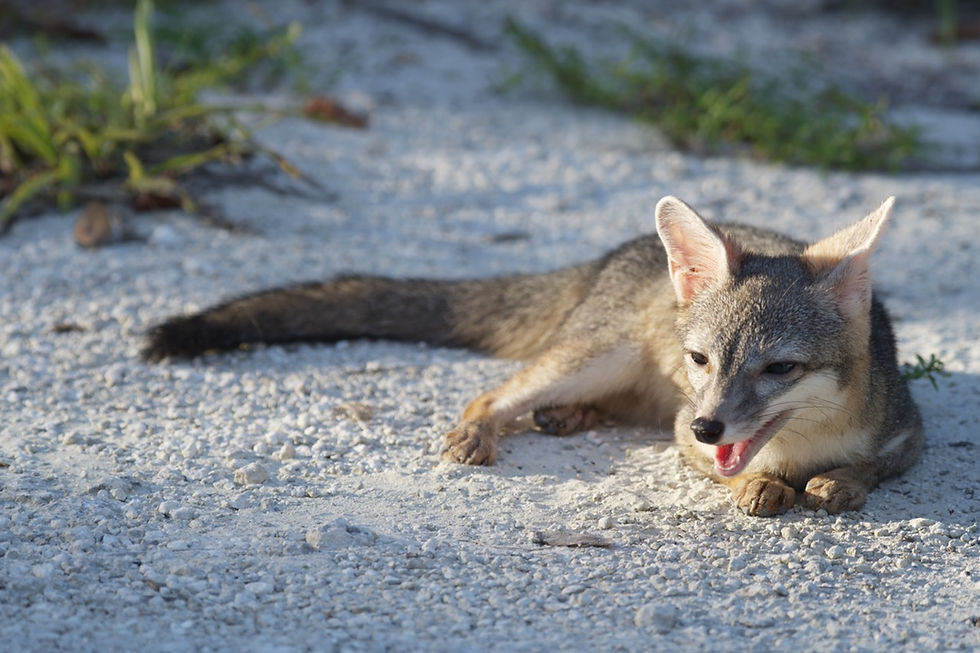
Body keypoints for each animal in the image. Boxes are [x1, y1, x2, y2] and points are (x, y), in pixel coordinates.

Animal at [142, 196, 923, 517]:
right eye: (701, 359)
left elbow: (872, 467)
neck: (801, 446)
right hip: (595, 357)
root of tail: (615, 254)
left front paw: (839, 482)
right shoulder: (680, 433)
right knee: (495, 394)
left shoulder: (908, 432)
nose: (710, 425)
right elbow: (733, 472)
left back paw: (570, 417)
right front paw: (761, 484)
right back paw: (487, 428)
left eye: (779, 368)